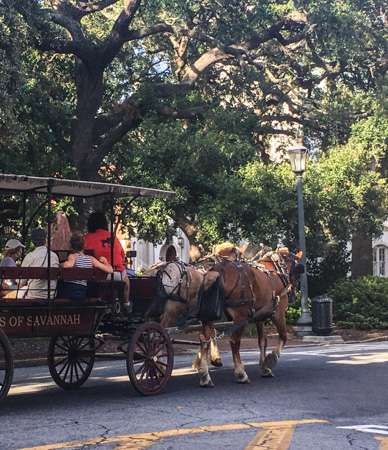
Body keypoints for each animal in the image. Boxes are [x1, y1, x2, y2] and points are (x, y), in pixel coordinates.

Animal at [197, 250, 304, 386]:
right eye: (297, 269)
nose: (294, 293)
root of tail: (218, 270)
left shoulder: (260, 318)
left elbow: (263, 342)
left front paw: (264, 368)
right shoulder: (278, 313)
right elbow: (283, 337)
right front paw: (271, 358)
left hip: (209, 315)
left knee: (204, 339)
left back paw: (205, 376)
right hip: (240, 316)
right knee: (234, 342)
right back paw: (241, 373)